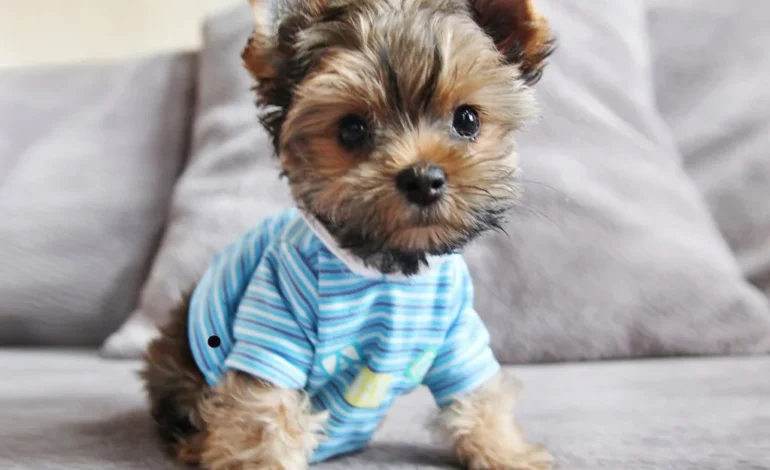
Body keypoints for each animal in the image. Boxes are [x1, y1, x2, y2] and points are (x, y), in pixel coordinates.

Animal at [142, 0, 552, 470]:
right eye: (351, 130)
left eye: (467, 120)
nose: (422, 179)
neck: (387, 266)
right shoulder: (275, 314)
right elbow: (264, 414)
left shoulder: (458, 332)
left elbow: (478, 395)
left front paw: (505, 451)